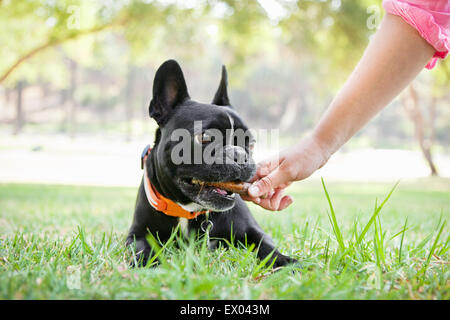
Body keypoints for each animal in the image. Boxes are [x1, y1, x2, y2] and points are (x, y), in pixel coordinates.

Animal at [125, 60, 296, 268]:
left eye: (251, 143)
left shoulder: (253, 231)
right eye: (205, 137)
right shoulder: (137, 234)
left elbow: (267, 247)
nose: (238, 154)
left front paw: (286, 262)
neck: (188, 209)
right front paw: (150, 264)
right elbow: (141, 248)